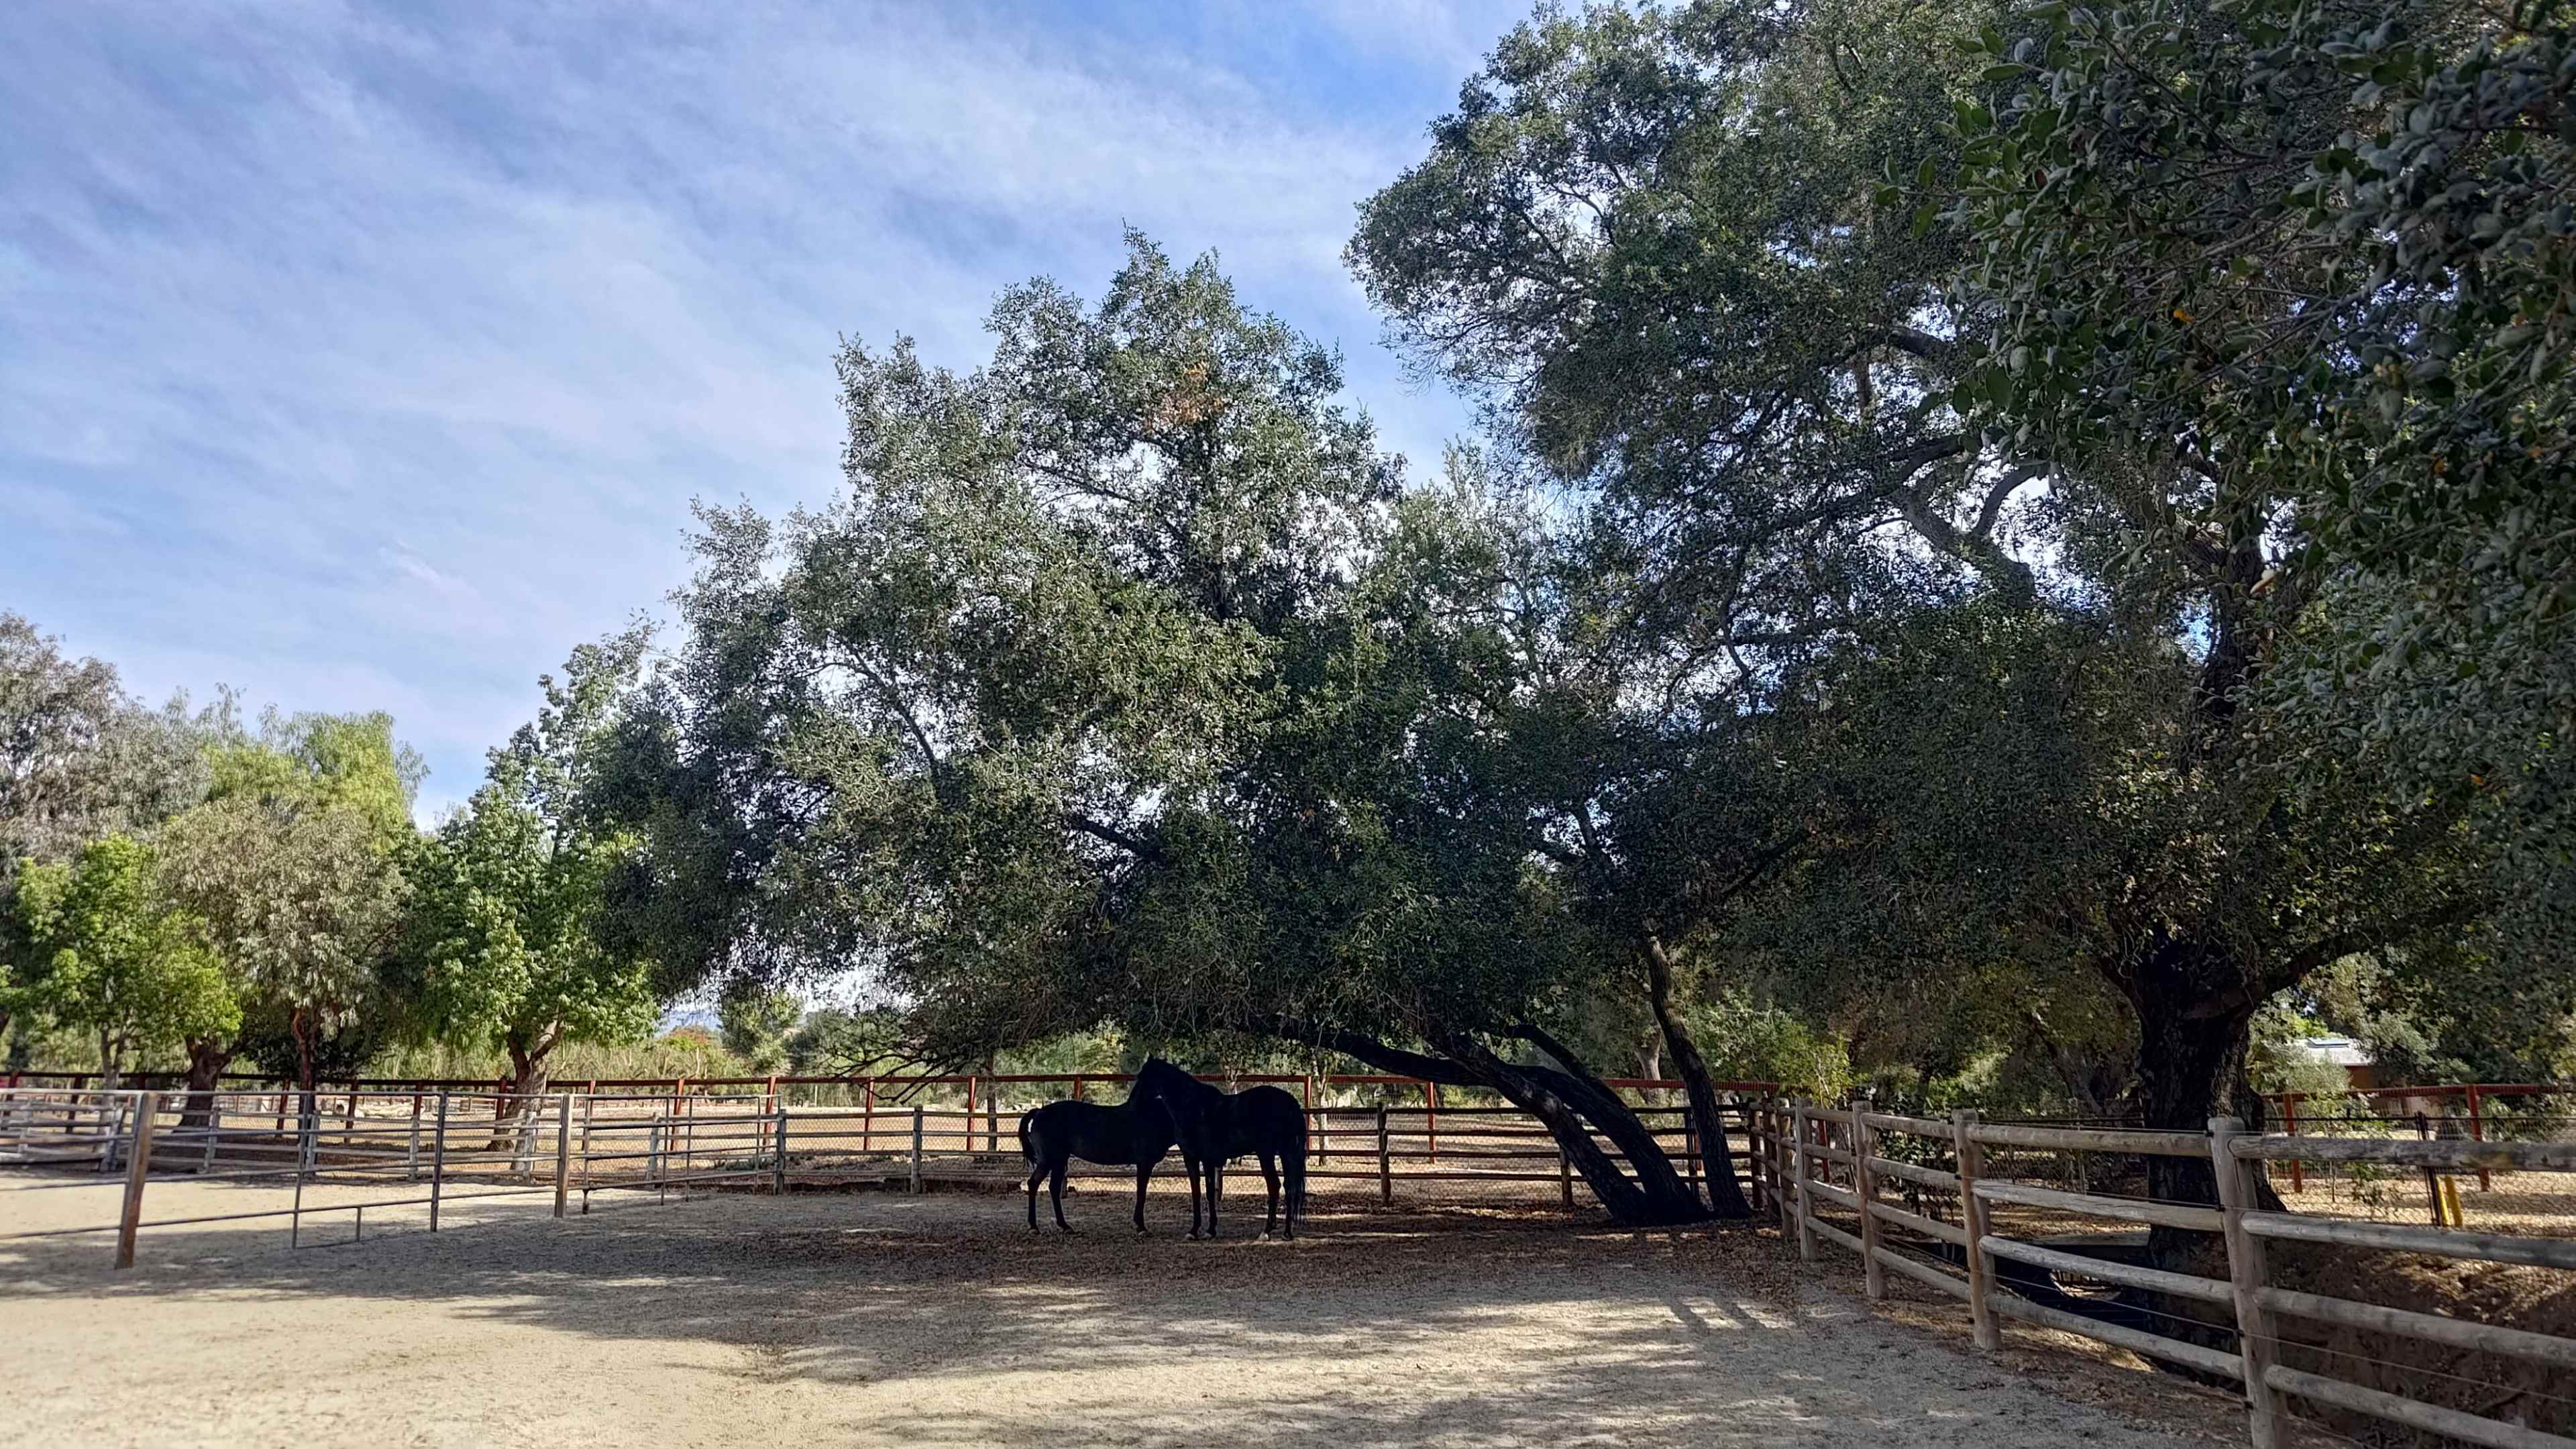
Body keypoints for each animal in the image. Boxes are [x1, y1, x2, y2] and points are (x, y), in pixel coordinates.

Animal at [1016, 1088, 1175, 1234]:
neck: (1153, 1118)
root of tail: (1040, 1111)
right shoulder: (1144, 1163)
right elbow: (1141, 1193)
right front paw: (1141, 1226)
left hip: (1059, 1161)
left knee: (1052, 1188)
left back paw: (1063, 1226)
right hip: (1049, 1160)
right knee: (1034, 1184)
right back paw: (1035, 1227)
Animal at [1129, 1057, 1309, 1240]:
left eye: (1143, 1078)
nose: (1132, 1104)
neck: (1193, 1108)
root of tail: (1290, 1103)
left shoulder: (1201, 1159)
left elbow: (1205, 1193)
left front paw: (1204, 1230)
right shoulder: (1196, 1159)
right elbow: (1200, 1192)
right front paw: (1200, 1230)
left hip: (1266, 1154)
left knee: (1274, 1186)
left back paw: (1267, 1232)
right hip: (1285, 1153)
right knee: (1288, 1187)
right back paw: (1286, 1232)